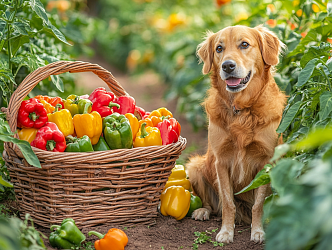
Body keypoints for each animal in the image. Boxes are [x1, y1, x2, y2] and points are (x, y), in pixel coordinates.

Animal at [187, 25, 286, 244]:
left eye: (244, 44)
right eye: (219, 48)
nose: (227, 66)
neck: (241, 110)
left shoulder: (266, 160)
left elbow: (258, 204)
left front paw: (258, 232)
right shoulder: (221, 161)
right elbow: (227, 202)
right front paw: (226, 232)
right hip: (195, 166)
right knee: (213, 206)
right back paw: (202, 211)